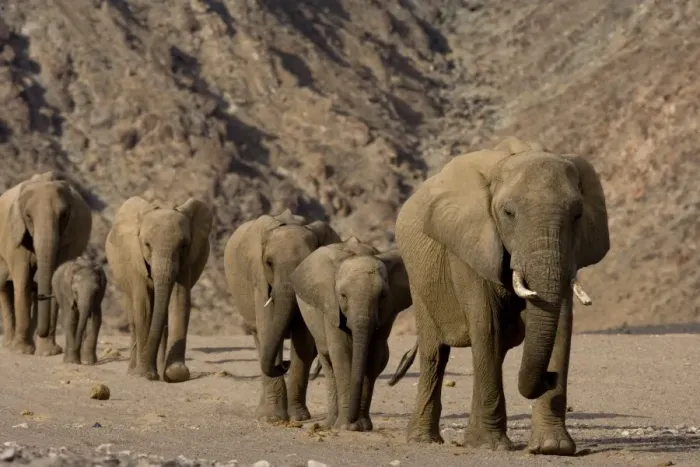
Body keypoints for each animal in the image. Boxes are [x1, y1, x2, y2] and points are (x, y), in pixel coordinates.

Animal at [0, 171, 92, 355]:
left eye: (63, 215)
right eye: (28, 216)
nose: (41, 295)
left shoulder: (68, 239)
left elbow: (56, 279)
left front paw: (48, 352)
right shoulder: (15, 236)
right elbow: (23, 281)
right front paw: (21, 351)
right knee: (5, 286)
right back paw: (9, 345)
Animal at [105, 196, 213, 383]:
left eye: (183, 246)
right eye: (147, 244)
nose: (149, 373)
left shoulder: (187, 260)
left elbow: (179, 299)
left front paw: (176, 373)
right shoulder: (135, 259)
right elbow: (144, 306)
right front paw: (143, 374)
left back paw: (161, 371)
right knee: (134, 316)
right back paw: (132, 371)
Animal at [223, 209, 341, 422]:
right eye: (269, 263)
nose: (284, 364)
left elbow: (303, 339)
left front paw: (299, 418)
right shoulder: (259, 278)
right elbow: (266, 328)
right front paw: (273, 419)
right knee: (260, 338)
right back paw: (263, 413)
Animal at [291, 237, 412, 431]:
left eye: (383, 296)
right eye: (342, 295)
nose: (352, 419)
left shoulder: (386, 313)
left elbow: (373, 356)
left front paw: (361, 426)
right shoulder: (330, 306)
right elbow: (341, 354)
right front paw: (347, 426)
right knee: (328, 361)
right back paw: (331, 423)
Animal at [389, 136, 609, 455]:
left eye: (578, 214)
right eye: (508, 213)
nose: (549, 377)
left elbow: (560, 327)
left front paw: (551, 448)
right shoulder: (468, 246)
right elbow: (486, 325)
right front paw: (492, 446)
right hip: (418, 278)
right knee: (436, 353)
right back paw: (424, 440)